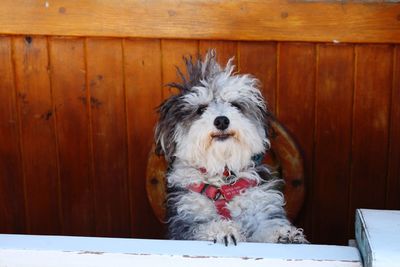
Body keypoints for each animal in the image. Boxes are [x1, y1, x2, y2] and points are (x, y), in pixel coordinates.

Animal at [155, 50, 308, 247]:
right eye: (200, 109)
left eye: (236, 105)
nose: (221, 120)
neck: (223, 176)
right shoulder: (185, 218)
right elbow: (203, 226)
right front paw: (224, 230)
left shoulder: (259, 203)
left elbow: (267, 226)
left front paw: (284, 234)